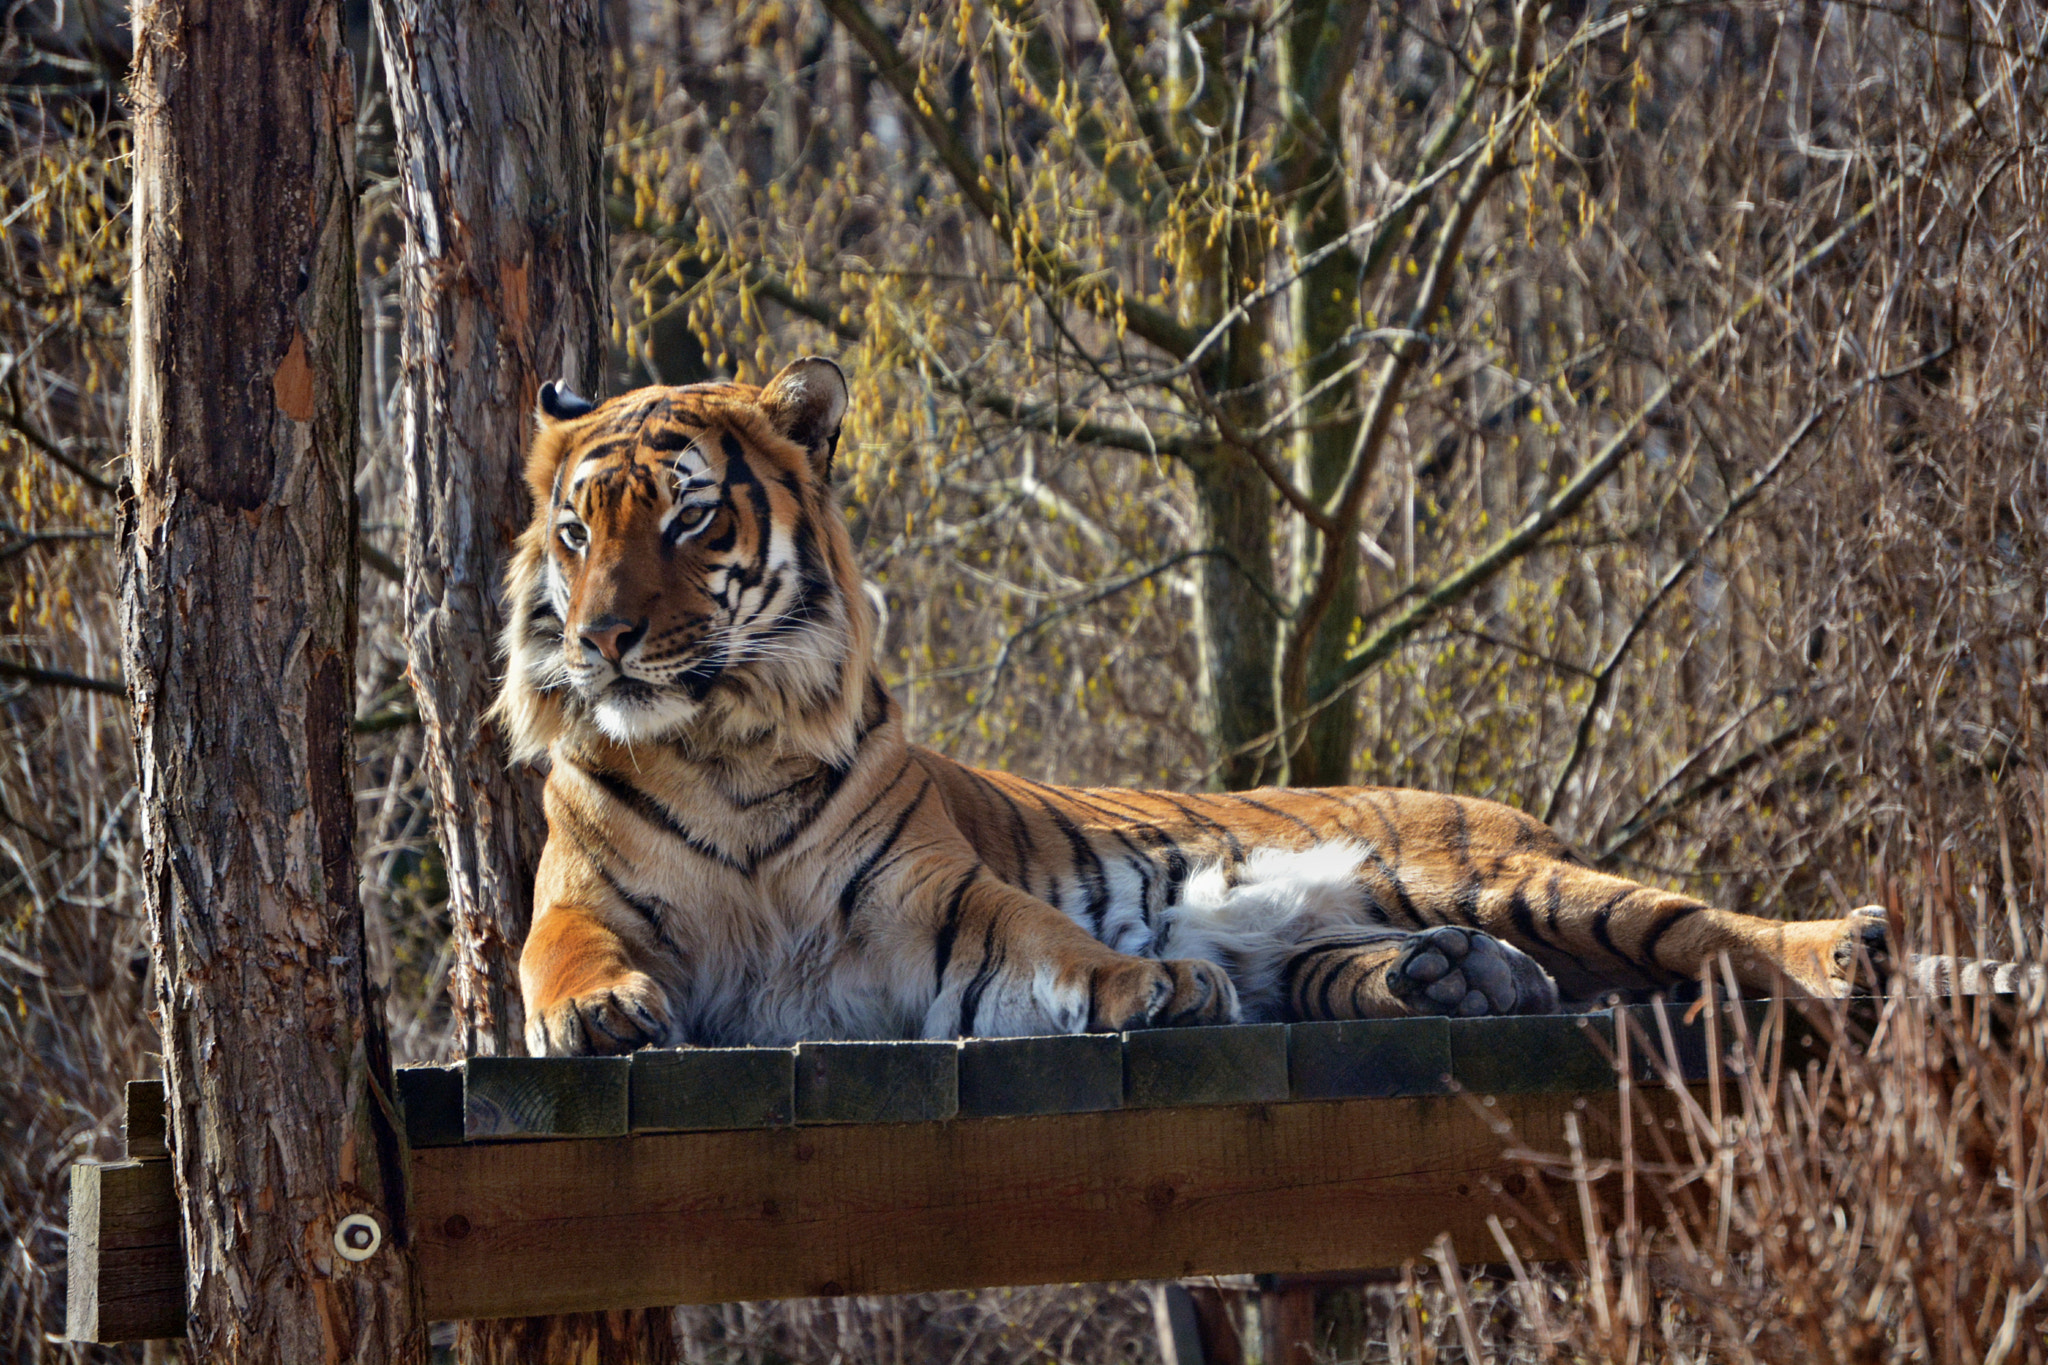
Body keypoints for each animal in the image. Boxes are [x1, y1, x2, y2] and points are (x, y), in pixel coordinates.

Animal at [495, 355, 1905, 1056]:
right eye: (575, 530)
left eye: (688, 518)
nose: (604, 638)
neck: (715, 744)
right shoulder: (580, 896)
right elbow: (551, 954)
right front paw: (597, 1011)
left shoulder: (932, 902)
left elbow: (1049, 944)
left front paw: (1151, 984)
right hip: (1361, 934)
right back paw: (1456, 981)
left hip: (1490, 871)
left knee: (1688, 926)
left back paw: (1845, 948)